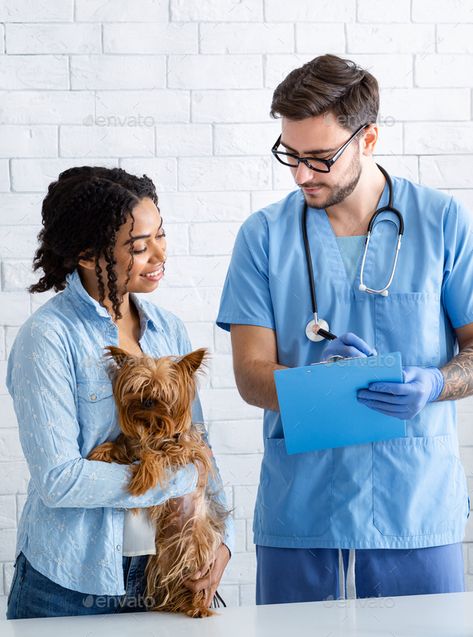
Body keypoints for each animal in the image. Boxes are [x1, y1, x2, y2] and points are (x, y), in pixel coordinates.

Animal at [89, 348, 230, 616]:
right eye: (139, 388)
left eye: (163, 393)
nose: (147, 401)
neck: (153, 427)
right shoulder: (133, 442)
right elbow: (122, 444)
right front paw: (100, 452)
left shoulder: (188, 450)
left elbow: (157, 455)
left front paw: (143, 477)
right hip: (163, 558)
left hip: (196, 551)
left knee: (197, 583)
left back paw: (198, 608)